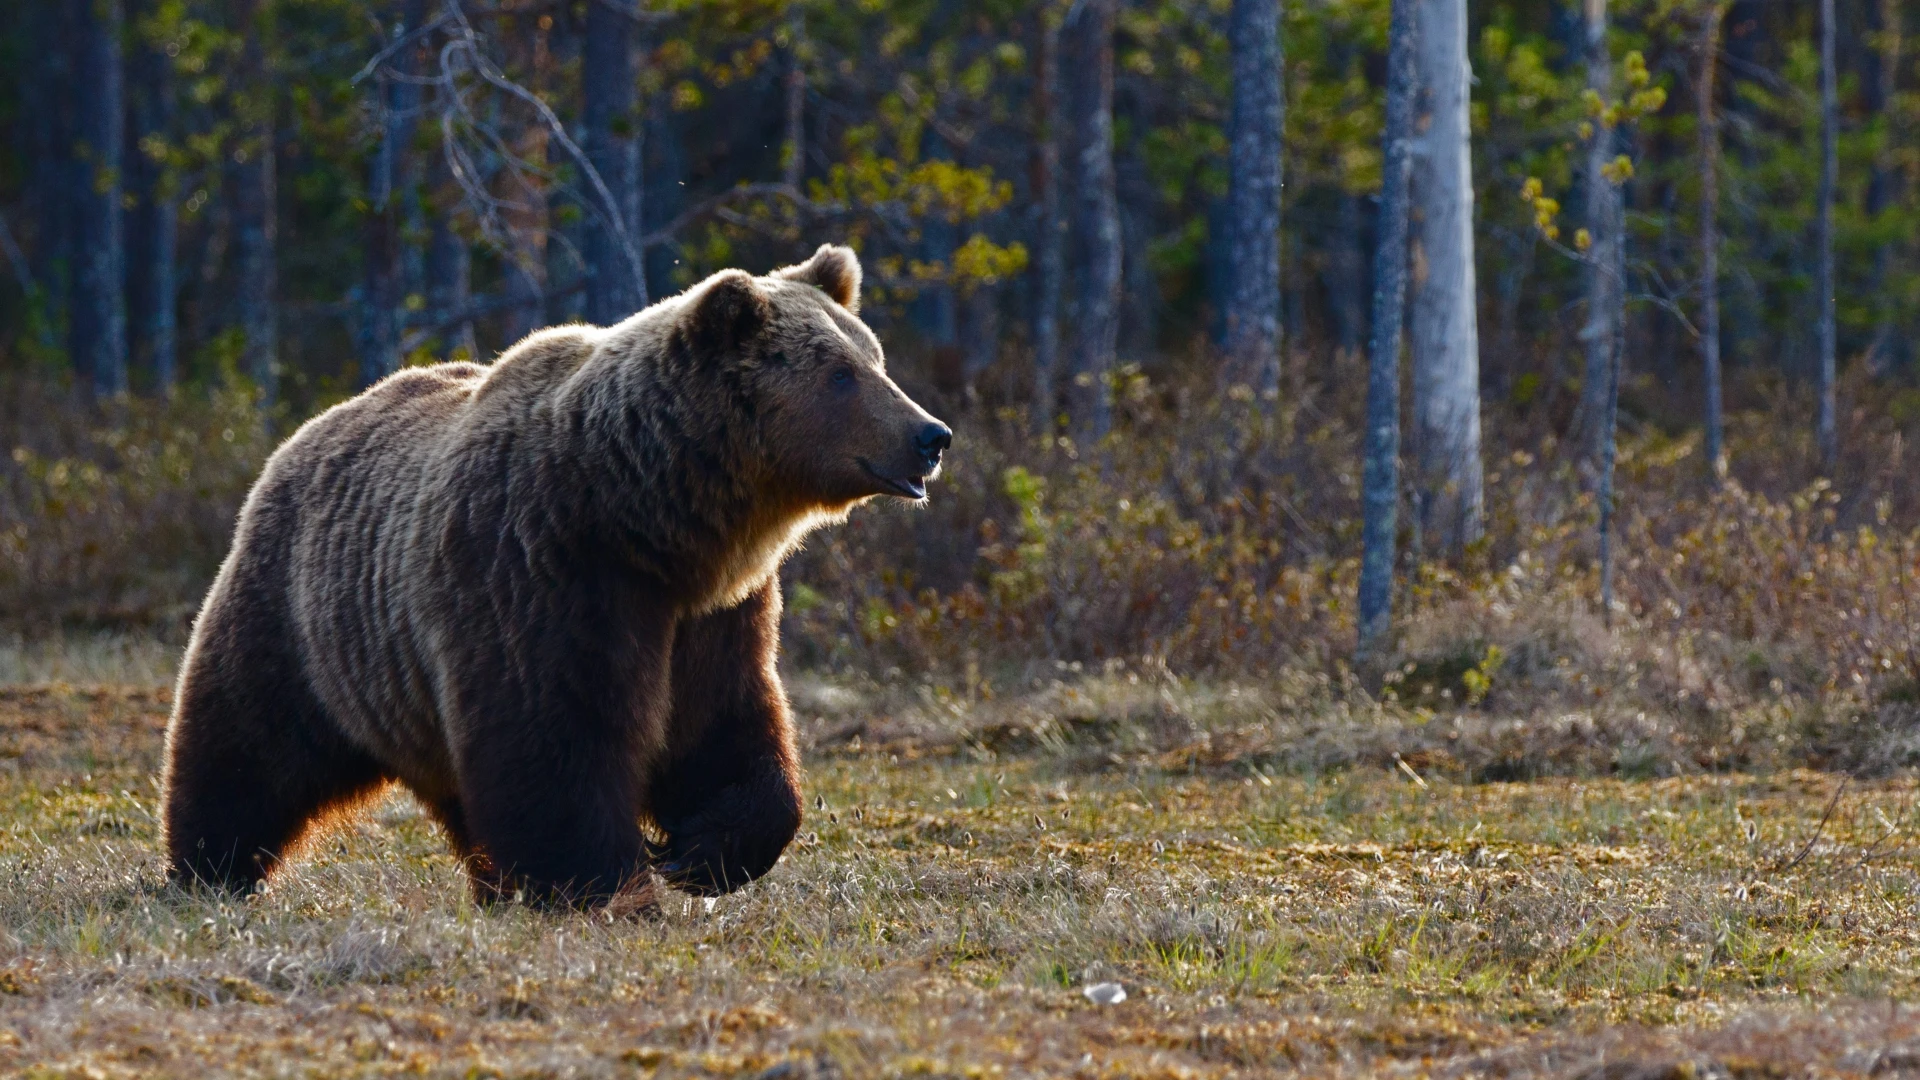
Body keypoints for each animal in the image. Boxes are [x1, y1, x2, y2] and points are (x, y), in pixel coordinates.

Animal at [159, 244, 949, 907]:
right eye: (840, 374)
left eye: (875, 358)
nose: (931, 434)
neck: (647, 519)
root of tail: (307, 430)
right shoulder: (541, 571)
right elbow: (555, 738)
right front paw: (607, 882)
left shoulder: (714, 612)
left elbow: (725, 724)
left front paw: (701, 851)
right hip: (304, 618)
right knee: (246, 744)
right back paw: (209, 868)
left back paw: (491, 884)